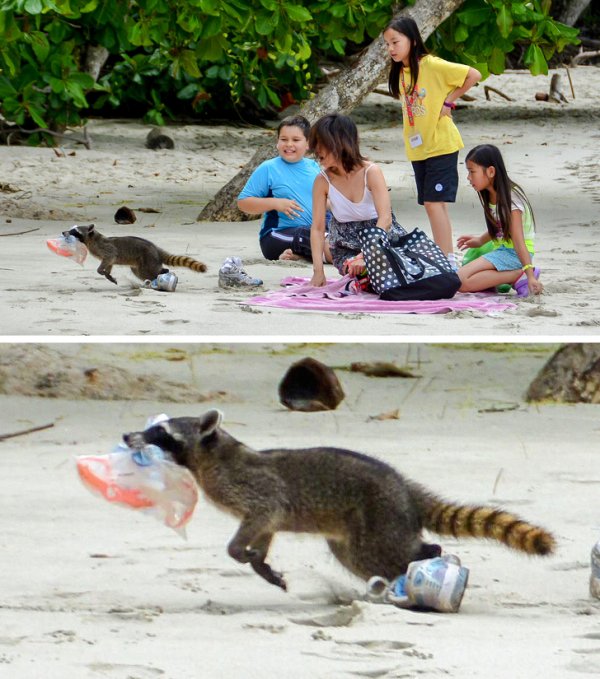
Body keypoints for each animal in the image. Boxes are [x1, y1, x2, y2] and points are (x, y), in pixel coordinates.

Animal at [64, 224, 207, 286]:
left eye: (74, 231)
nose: (63, 232)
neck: (92, 239)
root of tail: (155, 249)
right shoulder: (107, 256)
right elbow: (110, 263)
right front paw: (108, 274)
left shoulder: (106, 249)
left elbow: (110, 257)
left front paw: (101, 271)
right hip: (140, 263)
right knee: (140, 273)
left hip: (149, 259)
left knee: (150, 271)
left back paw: (163, 273)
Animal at [123, 410, 556, 588]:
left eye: (162, 432)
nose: (128, 436)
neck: (210, 455)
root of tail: (405, 488)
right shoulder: (265, 510)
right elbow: (267, 527)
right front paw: (260, 561)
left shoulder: (254, 488)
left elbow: (265, 510)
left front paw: (239, 552)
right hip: (358, 529)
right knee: (358, 559)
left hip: (380, 517)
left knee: (385, 553)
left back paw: (426, 559)